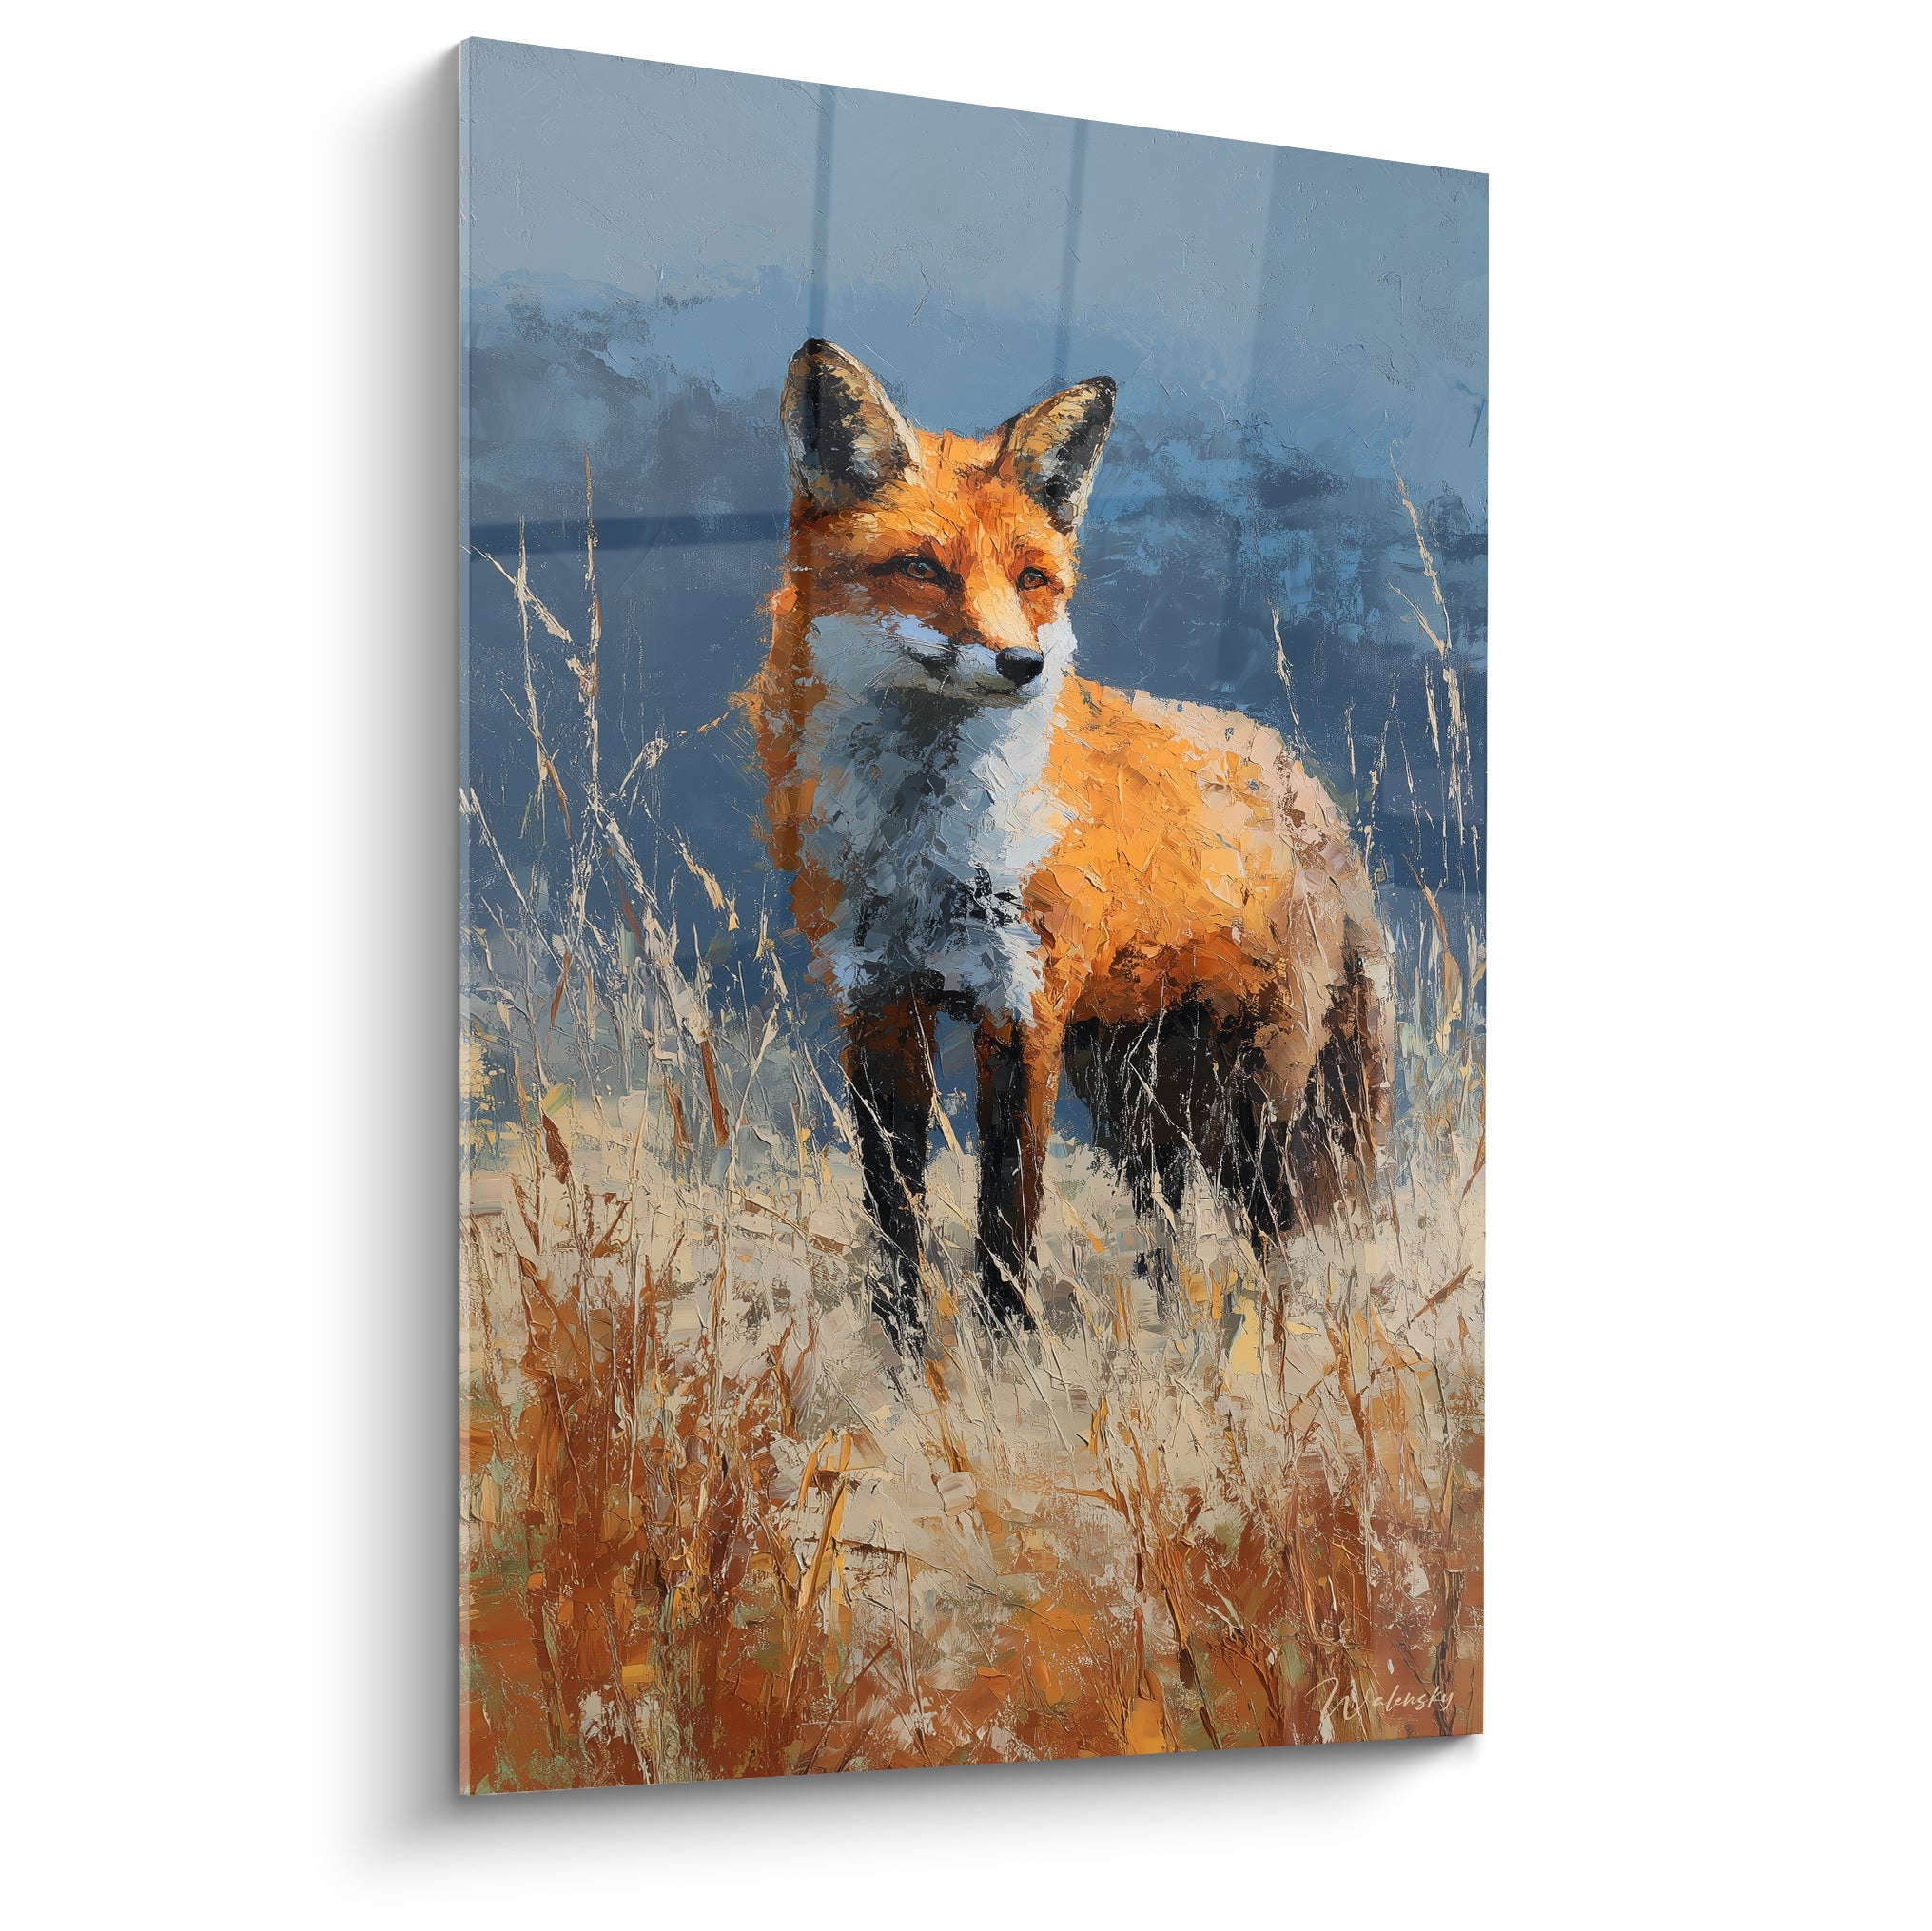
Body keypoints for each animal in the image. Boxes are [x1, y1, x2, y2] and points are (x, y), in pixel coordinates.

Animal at [749, 339, 1392, 1350]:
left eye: (1032, 579)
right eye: (921, 568)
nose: (1023, 664)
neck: (918, 845)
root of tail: (1305, 782)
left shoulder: (1023, 1010)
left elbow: (1006, 1216)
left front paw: (1008, 1358)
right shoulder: (875, 1005)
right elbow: (894, 1217)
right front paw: (905, 1356)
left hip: (1256, 1096)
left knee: (1269, 1230)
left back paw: (1268, 1350)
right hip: (1135, 1098)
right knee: (1169, 1222)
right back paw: (1168, 1338)